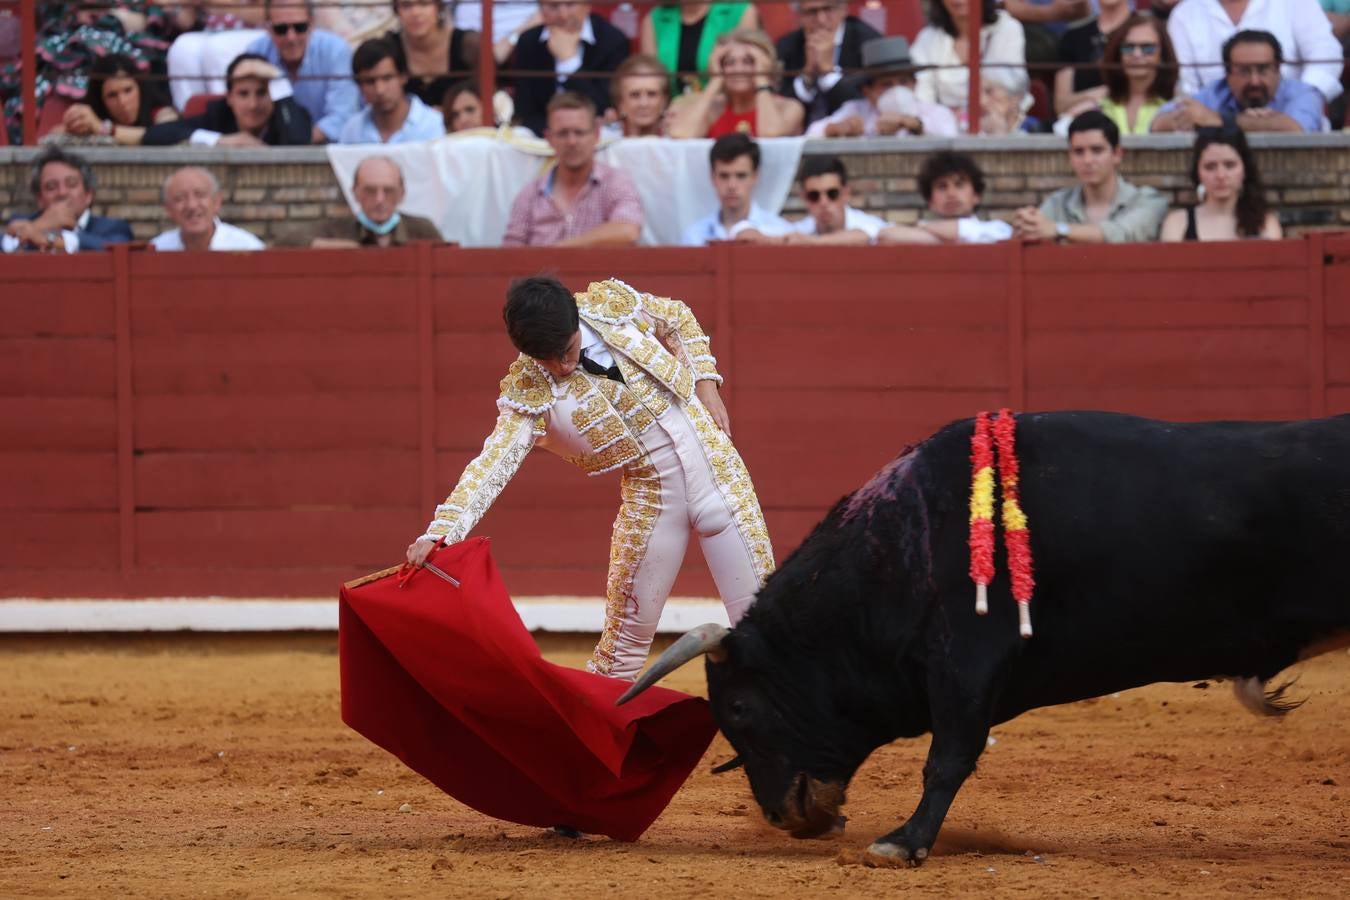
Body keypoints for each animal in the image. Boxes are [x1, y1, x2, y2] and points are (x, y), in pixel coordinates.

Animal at [618, 412, 1344, 863]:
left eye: (740, 708)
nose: (778, 816)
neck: (901, 542)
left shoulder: (967, 658)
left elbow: (949, 755)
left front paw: (903, 843)